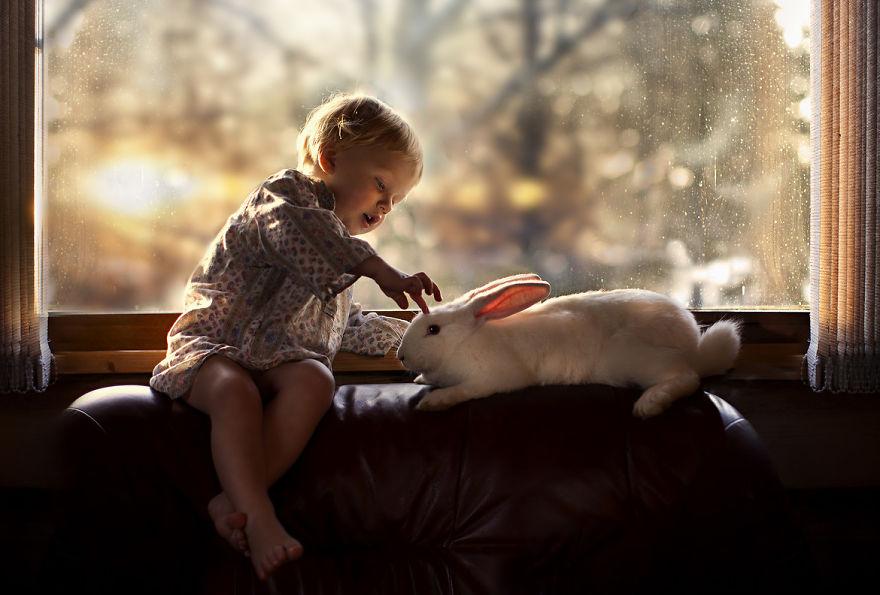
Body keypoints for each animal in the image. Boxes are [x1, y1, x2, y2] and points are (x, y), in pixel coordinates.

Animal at [398, 274, 744, 420]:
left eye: (433, 330)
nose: (401, 357)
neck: (466, 339)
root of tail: (693, 347)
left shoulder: (493, 378)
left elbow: (463, 390)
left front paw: (434, 401)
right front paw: (421, 380)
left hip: (635, 359)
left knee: (686, 378)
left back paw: (649, 405)